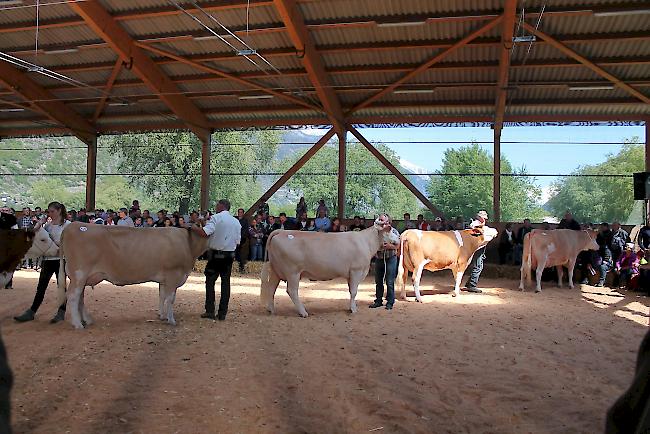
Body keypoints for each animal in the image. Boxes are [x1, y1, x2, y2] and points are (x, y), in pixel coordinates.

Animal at [58, 224, 206, 328]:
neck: (188, 244)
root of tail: (72, 225)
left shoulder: (164, 279)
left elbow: (162, 296)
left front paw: (162, 316)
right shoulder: (173, 275)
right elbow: (170, 299)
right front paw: (171, 320)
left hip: (82, 277)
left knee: (80, 297)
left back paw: (87, 320)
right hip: (79, 274)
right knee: (73, 296)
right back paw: (78, 324)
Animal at [258, 219, 390, 318]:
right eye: (391, 229)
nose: (397, 238)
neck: (365, 241)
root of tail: (281, 232)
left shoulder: (350, 274)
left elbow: (350, 291)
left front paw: (351, 307)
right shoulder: (356, 271)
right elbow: (354, 292)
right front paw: (353, 309)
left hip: (276, 271)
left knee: (271, 288)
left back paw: (271, 310)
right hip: (292, 272)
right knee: (292, 291)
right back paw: (303, 312)